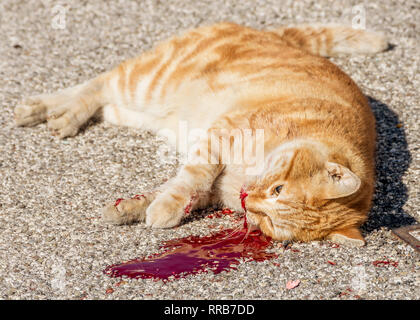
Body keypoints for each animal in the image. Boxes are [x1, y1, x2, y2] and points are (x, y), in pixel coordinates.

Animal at [13, 23, 388, 245]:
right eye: (278, 189)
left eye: (268, 221)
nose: (247, 200)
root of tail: (272, 34)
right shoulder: (220, 137)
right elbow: (190, 179)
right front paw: (164, 209)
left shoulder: (215, 186)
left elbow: (176, 188)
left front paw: (133, 207)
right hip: (148, 83)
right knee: (98, 83)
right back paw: (52, 112)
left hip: (142, 110)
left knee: (102, 100)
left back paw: (54, 112)